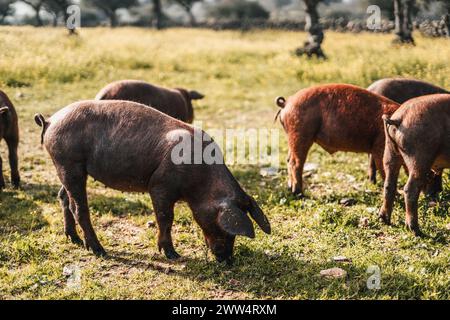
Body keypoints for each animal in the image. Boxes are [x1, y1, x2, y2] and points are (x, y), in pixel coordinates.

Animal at [35, 100, 270, 264]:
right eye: (225, 229)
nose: (228, 260)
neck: (202, 181)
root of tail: (50, 121)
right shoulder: (159, 186)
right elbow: (165, 218)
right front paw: (173, 255)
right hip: (69, 163)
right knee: (78, 207)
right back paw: (100, 250)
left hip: (67, 168)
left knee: (63, 197)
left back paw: (74, 239)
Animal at [378, 93, 448, 235]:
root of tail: (400, 117)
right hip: (420, 156)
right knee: (410, 189)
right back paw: (416, 230)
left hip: (390, 152)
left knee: (388, 184)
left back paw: (384, 220)